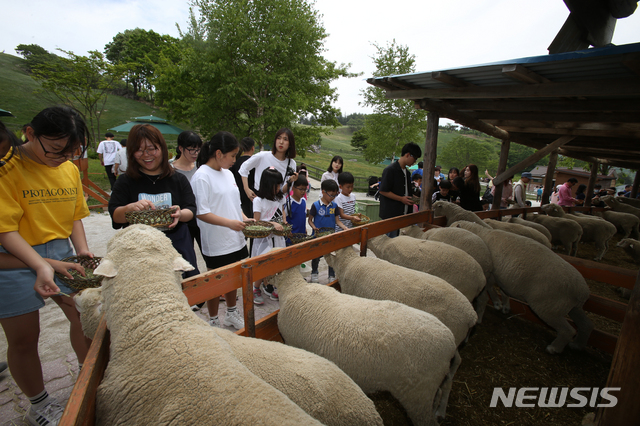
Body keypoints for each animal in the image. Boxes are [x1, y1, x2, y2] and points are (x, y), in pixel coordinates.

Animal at [276, 268, 460, 424]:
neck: (293, 288)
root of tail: (450, 342)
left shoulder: (292, 342)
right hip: (430, 387)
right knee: (442, 391)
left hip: (419, 395)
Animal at [450, 221, 596, 354]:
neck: (480, 233)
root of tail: (582, 292)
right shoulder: (503, 278)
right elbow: (504, 292)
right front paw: (504, 306)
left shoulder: (491, 276)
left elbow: (491, 291)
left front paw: (497, 303)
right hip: (570, 306)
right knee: (586, 324)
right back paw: (577, 345)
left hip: (548, 306)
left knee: (568, 330)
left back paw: (554, 348)